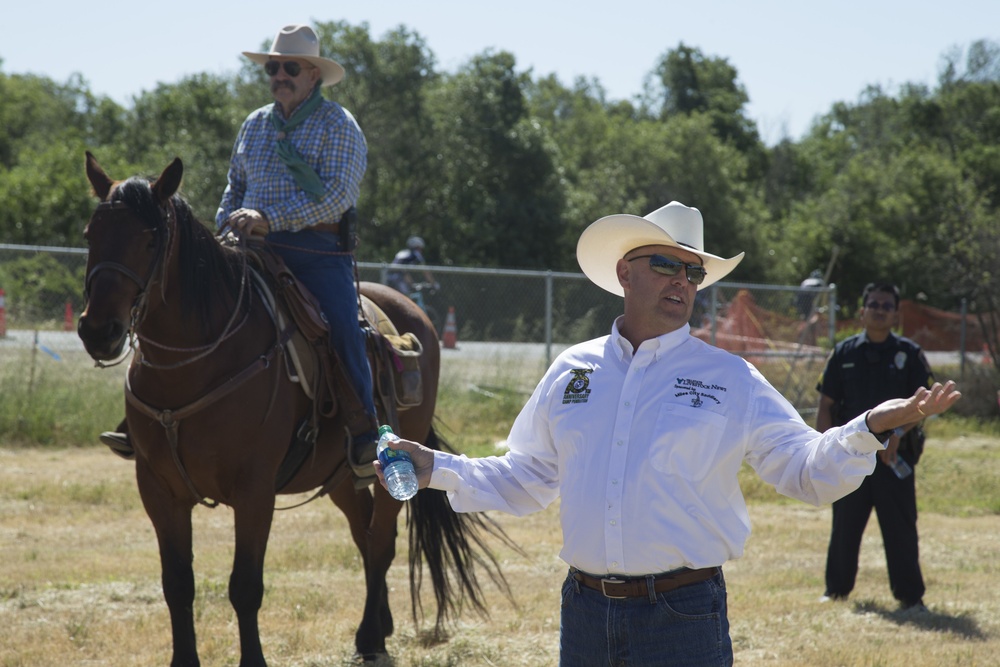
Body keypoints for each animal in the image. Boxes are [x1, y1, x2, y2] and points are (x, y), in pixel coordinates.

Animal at [78, 153, 516, 667]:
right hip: (341, 477)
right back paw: (380, 626)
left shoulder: (254, 489)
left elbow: (245, 586)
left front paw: (254, 660)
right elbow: (177, 585)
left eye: (149, 239)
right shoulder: (157, 488)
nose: (98, 330)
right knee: (365, 537)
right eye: (90, 234)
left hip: (389, 468)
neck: (198, 360)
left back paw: (371, 638)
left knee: (381, 543)